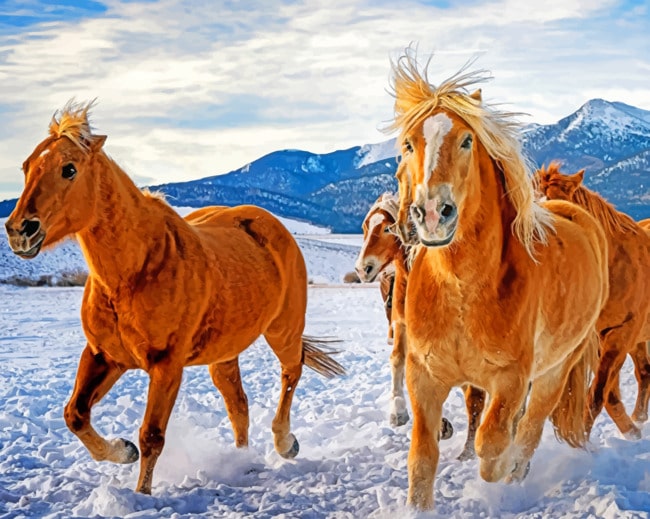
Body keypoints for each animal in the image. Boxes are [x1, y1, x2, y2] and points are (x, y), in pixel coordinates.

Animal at [5, 101, 345, 495]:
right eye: (27, 166)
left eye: (69, 169)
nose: (19, 231)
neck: (133, 273)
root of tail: (267, 223)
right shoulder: (104, 355)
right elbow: (75, 414)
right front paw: (123, 451)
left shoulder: (166, 365)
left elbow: (152, 435)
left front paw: (142, 494)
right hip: (224, 353)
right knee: (238, 405)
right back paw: (242, 462)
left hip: (283, 330)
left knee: (291, 372)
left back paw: (285, 443)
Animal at [354, 191, 481, 453]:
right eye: (365, 227)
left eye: (386, 229)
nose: (362, 269)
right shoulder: (402, 325)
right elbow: (398, 360)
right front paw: (399, 411)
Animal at [386, 50, 609, 510]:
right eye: (408, 144)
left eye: (467, 140)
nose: (431, 214)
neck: (461, 291)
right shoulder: (424, 376)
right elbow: (422, 459)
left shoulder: (510, 380)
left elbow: (492, 445)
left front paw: (501, 472)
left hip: (555, 370)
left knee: (531, 427)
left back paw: (518, 475)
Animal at [535, 162, 650, 438]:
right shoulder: (601, 341)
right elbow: (609, 396)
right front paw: (632, 431)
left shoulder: (620, 336)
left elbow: (597, 395)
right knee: (644, 374)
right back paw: (639, 419)